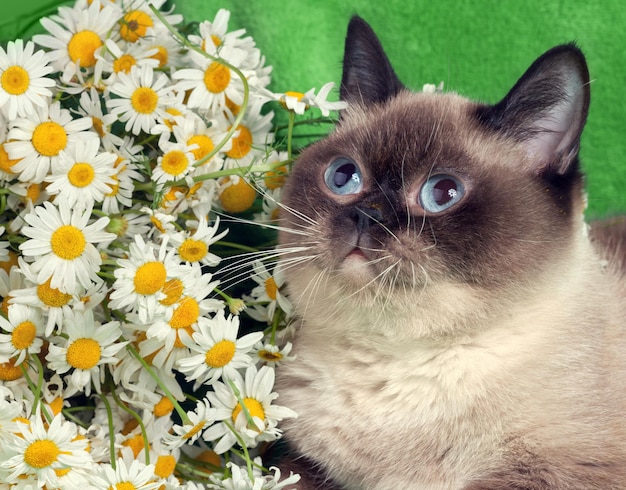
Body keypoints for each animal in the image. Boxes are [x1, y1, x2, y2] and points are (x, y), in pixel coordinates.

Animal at [270, 13, 624, 488]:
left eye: (442, 193)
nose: (367, 215)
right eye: (343, 177)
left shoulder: (559, 471)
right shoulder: (302, 463)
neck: (394, 360)